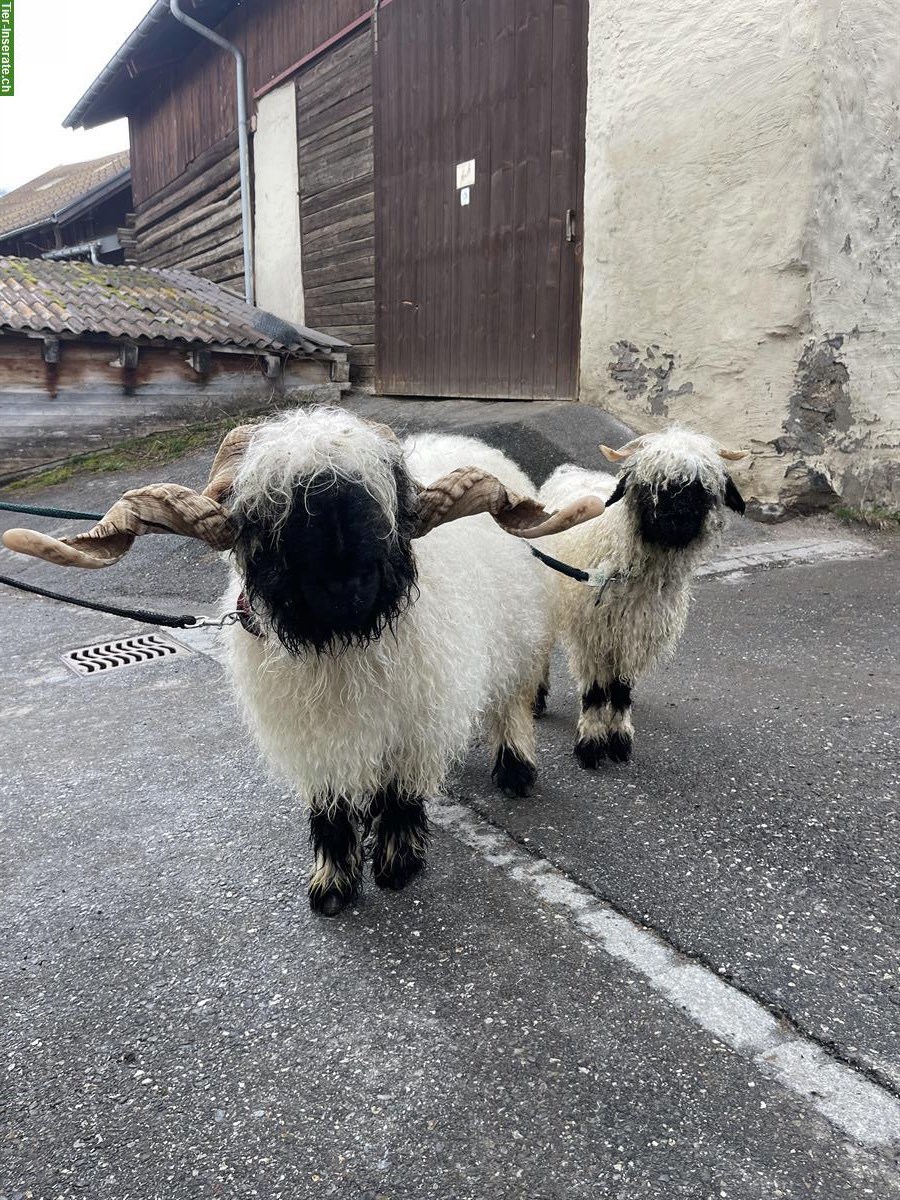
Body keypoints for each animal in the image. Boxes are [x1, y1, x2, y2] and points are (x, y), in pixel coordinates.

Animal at [5, 408, 607, 912]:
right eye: (264, 514)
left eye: (384, 500)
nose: (347, 586)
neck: (339, 645)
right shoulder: (311, 733)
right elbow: (331, 807)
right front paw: (333, 886)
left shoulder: (411, 721)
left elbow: (400, 794)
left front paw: (396, 867)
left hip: (518, 640)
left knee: (511, 703)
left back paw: (515, 769)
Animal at [540, 429, 748, 768]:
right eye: (651, 484)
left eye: (701, 487)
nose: (676, 518)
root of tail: (570, 471)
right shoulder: (591, 634)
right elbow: (594, 692)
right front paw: (590, 744)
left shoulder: (635, 633)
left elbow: (621, 690)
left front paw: (619, 739)